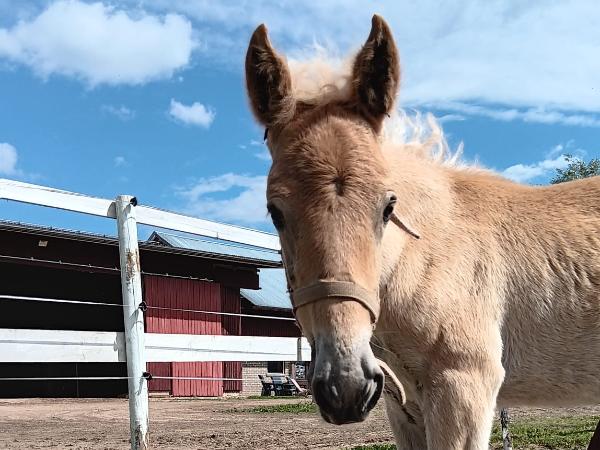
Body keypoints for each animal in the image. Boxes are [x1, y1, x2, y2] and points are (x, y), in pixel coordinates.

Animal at [244, 15, 600, 449]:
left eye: (388, 207)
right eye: (274, 211)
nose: (344, 387)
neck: (425, 257)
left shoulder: (463, 387)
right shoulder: (404, 406)